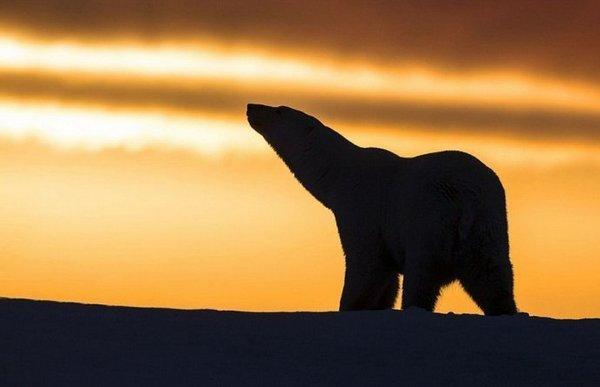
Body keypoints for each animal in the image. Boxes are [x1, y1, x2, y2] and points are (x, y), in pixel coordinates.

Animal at [246, 103, 516, 316]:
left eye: (279, 110)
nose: (251, 106)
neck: (341, 176)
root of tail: (465, 197)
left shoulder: (363, 212)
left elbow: (366, 266)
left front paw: (349, 307)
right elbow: (387, 281)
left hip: (429, 222)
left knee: (421, 277)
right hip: (487, 227)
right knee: (493, 278)